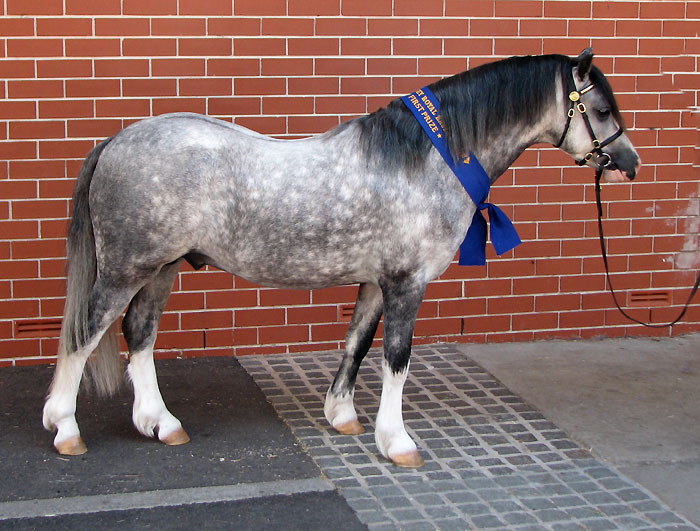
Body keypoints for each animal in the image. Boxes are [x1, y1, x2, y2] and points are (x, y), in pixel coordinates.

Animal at [43, 48, 640, 468]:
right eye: (600, 108)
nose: (629, 164)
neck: (425, 162)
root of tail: (117, 140)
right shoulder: (407, 283)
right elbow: (396, 358)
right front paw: (396, 441)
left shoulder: (376, 282)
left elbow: (356, 343)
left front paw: (343, 417)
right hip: (126, 270)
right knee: (85, 334)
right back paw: (66, 429)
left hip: (161, 270)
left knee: (139, 333)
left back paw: (160, 423)